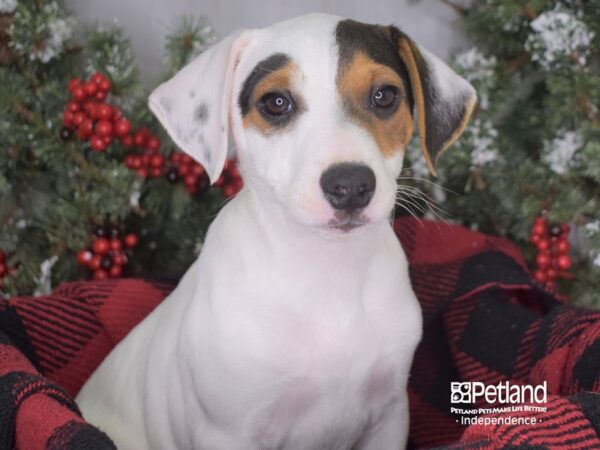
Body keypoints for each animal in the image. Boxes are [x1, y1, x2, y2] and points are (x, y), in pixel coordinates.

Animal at [77, 13, 476, 450]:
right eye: (276, 103)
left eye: (385, 96)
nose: (351, 185)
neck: (326, 274)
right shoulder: (228, 432)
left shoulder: (388, 416)